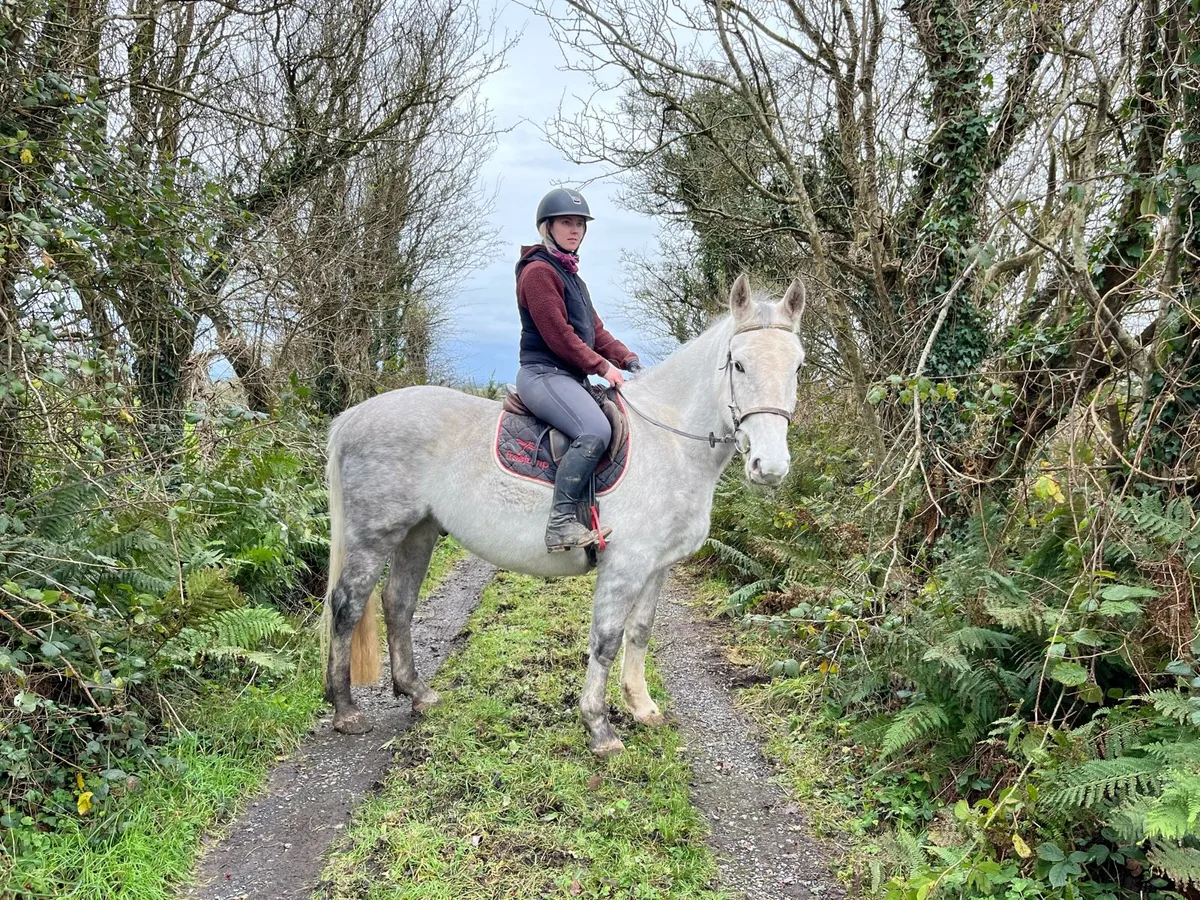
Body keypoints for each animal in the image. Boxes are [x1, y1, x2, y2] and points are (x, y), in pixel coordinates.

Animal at [320, 273, 806, 755]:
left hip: (418, 531)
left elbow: (640, 630)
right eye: (738, 364)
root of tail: (354, 415)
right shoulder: (625, 564)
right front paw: (599, 727)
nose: (770, 467)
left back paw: (418, 693)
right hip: (374, 535)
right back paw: (346, 710)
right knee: (347, 605)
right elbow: (606, 639)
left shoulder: (657, 565)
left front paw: (642, 707)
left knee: (398, 602)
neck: (668, 442)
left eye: (798, 367)